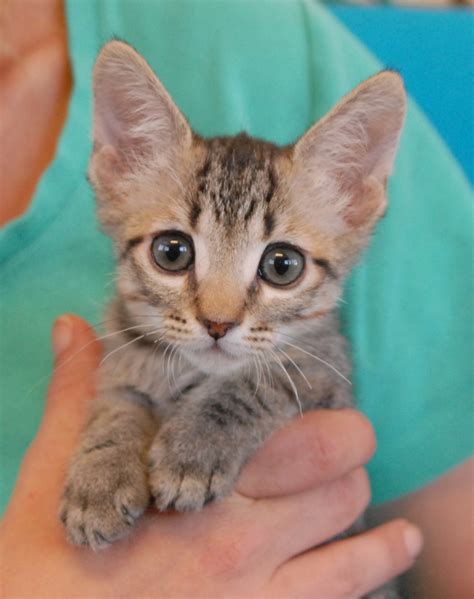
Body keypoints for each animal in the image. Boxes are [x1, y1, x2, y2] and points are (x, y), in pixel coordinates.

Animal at [59, 41, 406, 568]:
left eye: (283, 265)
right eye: (172, 252)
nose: (217, 324)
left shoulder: (326, 378)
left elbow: (259, 384)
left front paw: (193, 447)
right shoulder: (120, 355)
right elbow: (117, 403)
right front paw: (99, 474)